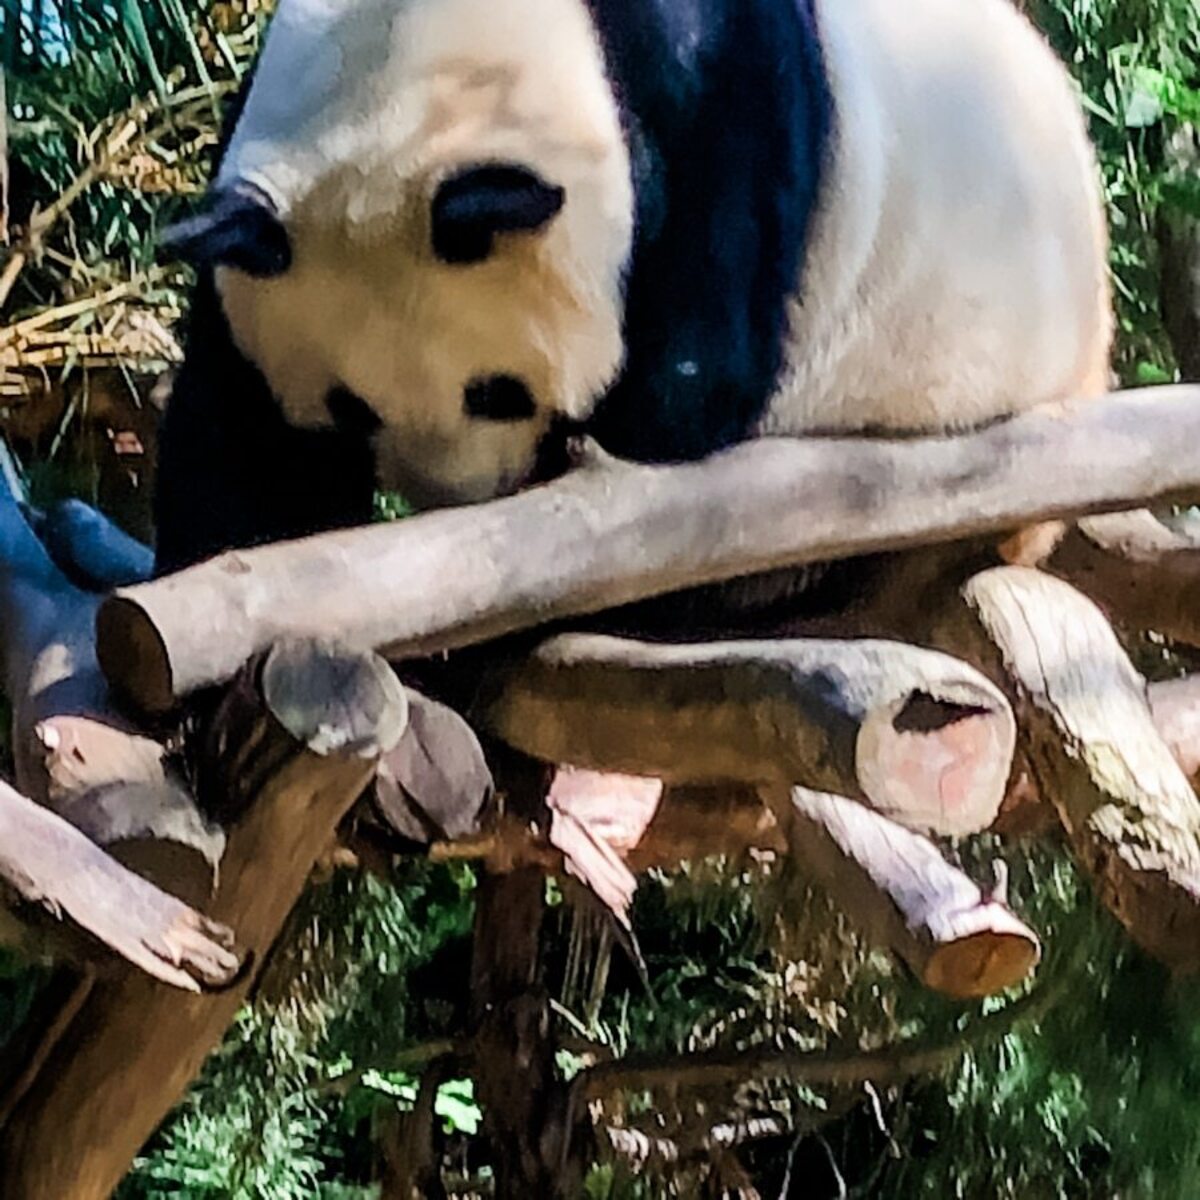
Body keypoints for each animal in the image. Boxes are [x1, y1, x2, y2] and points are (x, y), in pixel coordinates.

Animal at [153, 0, 1112, 594]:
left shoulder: (723, 100)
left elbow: (683, 392)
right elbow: (241, 426)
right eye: (350, 406)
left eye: (497, 391)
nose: (458, 500)